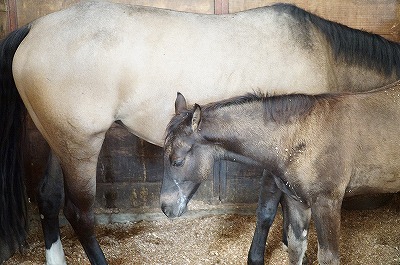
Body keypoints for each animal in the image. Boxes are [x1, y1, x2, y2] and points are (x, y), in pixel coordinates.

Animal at [162, 81, 400, 262]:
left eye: (177, 161)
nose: (165, 208)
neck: (299, 137)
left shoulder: (327, 203)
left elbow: (328, 258)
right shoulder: (296, 201)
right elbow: (296, 248)